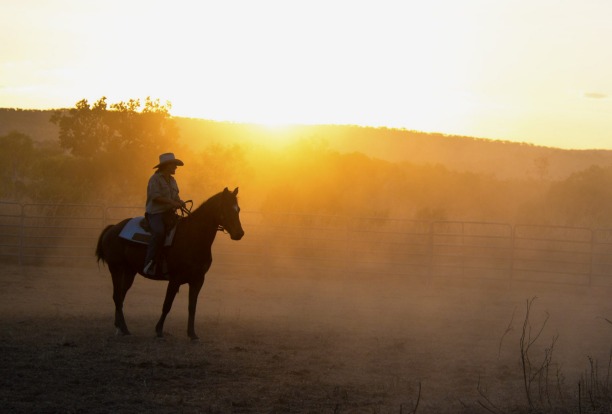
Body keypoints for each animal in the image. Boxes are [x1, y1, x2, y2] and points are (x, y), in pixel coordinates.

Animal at [95, 188, 244, 340]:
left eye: (238, 209)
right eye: (226, 208)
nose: (239, 233)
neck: (193, 236)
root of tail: (113, 228)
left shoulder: (198, 280)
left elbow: (192, 307)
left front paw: (192, 334)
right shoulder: (175, 279)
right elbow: (167, 304)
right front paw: (159, 330)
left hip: (130, 271)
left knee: (121, 295)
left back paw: (120, 327)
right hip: (116, 268)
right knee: (117, 296)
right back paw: (124, 328)